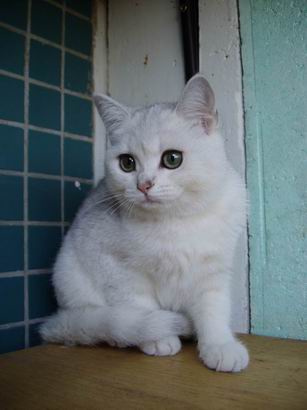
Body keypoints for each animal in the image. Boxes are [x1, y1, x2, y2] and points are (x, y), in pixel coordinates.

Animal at [39, 73, 249, 372]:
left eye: (172, 159)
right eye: (127, 163)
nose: (144, 185)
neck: (174, 222)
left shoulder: (213, 271)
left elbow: (214, 309)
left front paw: (220, 346)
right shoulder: (117, 269)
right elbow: (140, 307)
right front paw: (157, 338)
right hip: (72, 281)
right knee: (100, 323)